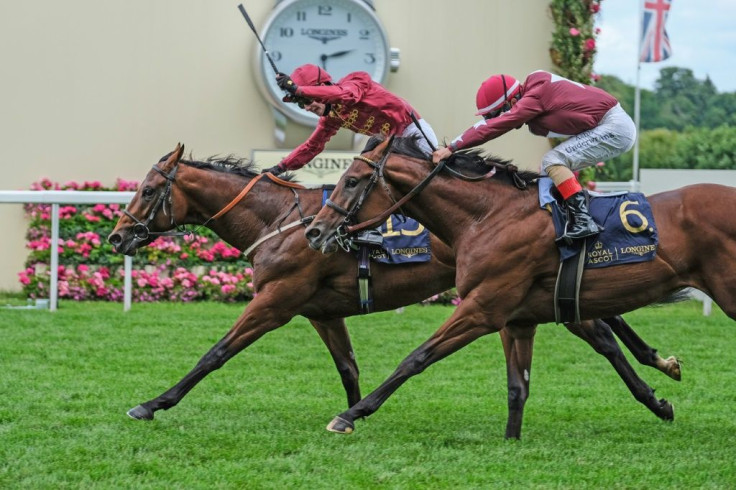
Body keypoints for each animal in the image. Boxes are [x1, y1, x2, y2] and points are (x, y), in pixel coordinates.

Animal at [108, 144, 680, 438]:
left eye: (150, 189)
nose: (116, 236)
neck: (280, 222)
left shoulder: (276, 301)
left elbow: (215, 354)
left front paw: (152, 403)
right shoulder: (320, 311)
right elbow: (347, 367)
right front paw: (354, 413)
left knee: (602, 337)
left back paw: (656, 391)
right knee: (602, 333)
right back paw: (657, 394)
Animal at [300, 136, 724, 434]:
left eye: (351, 181)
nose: (314, 231)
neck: (488, 216)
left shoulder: (483, 308)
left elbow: (416, 357)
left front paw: (350, 414)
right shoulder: (521, 315)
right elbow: (519, 384)